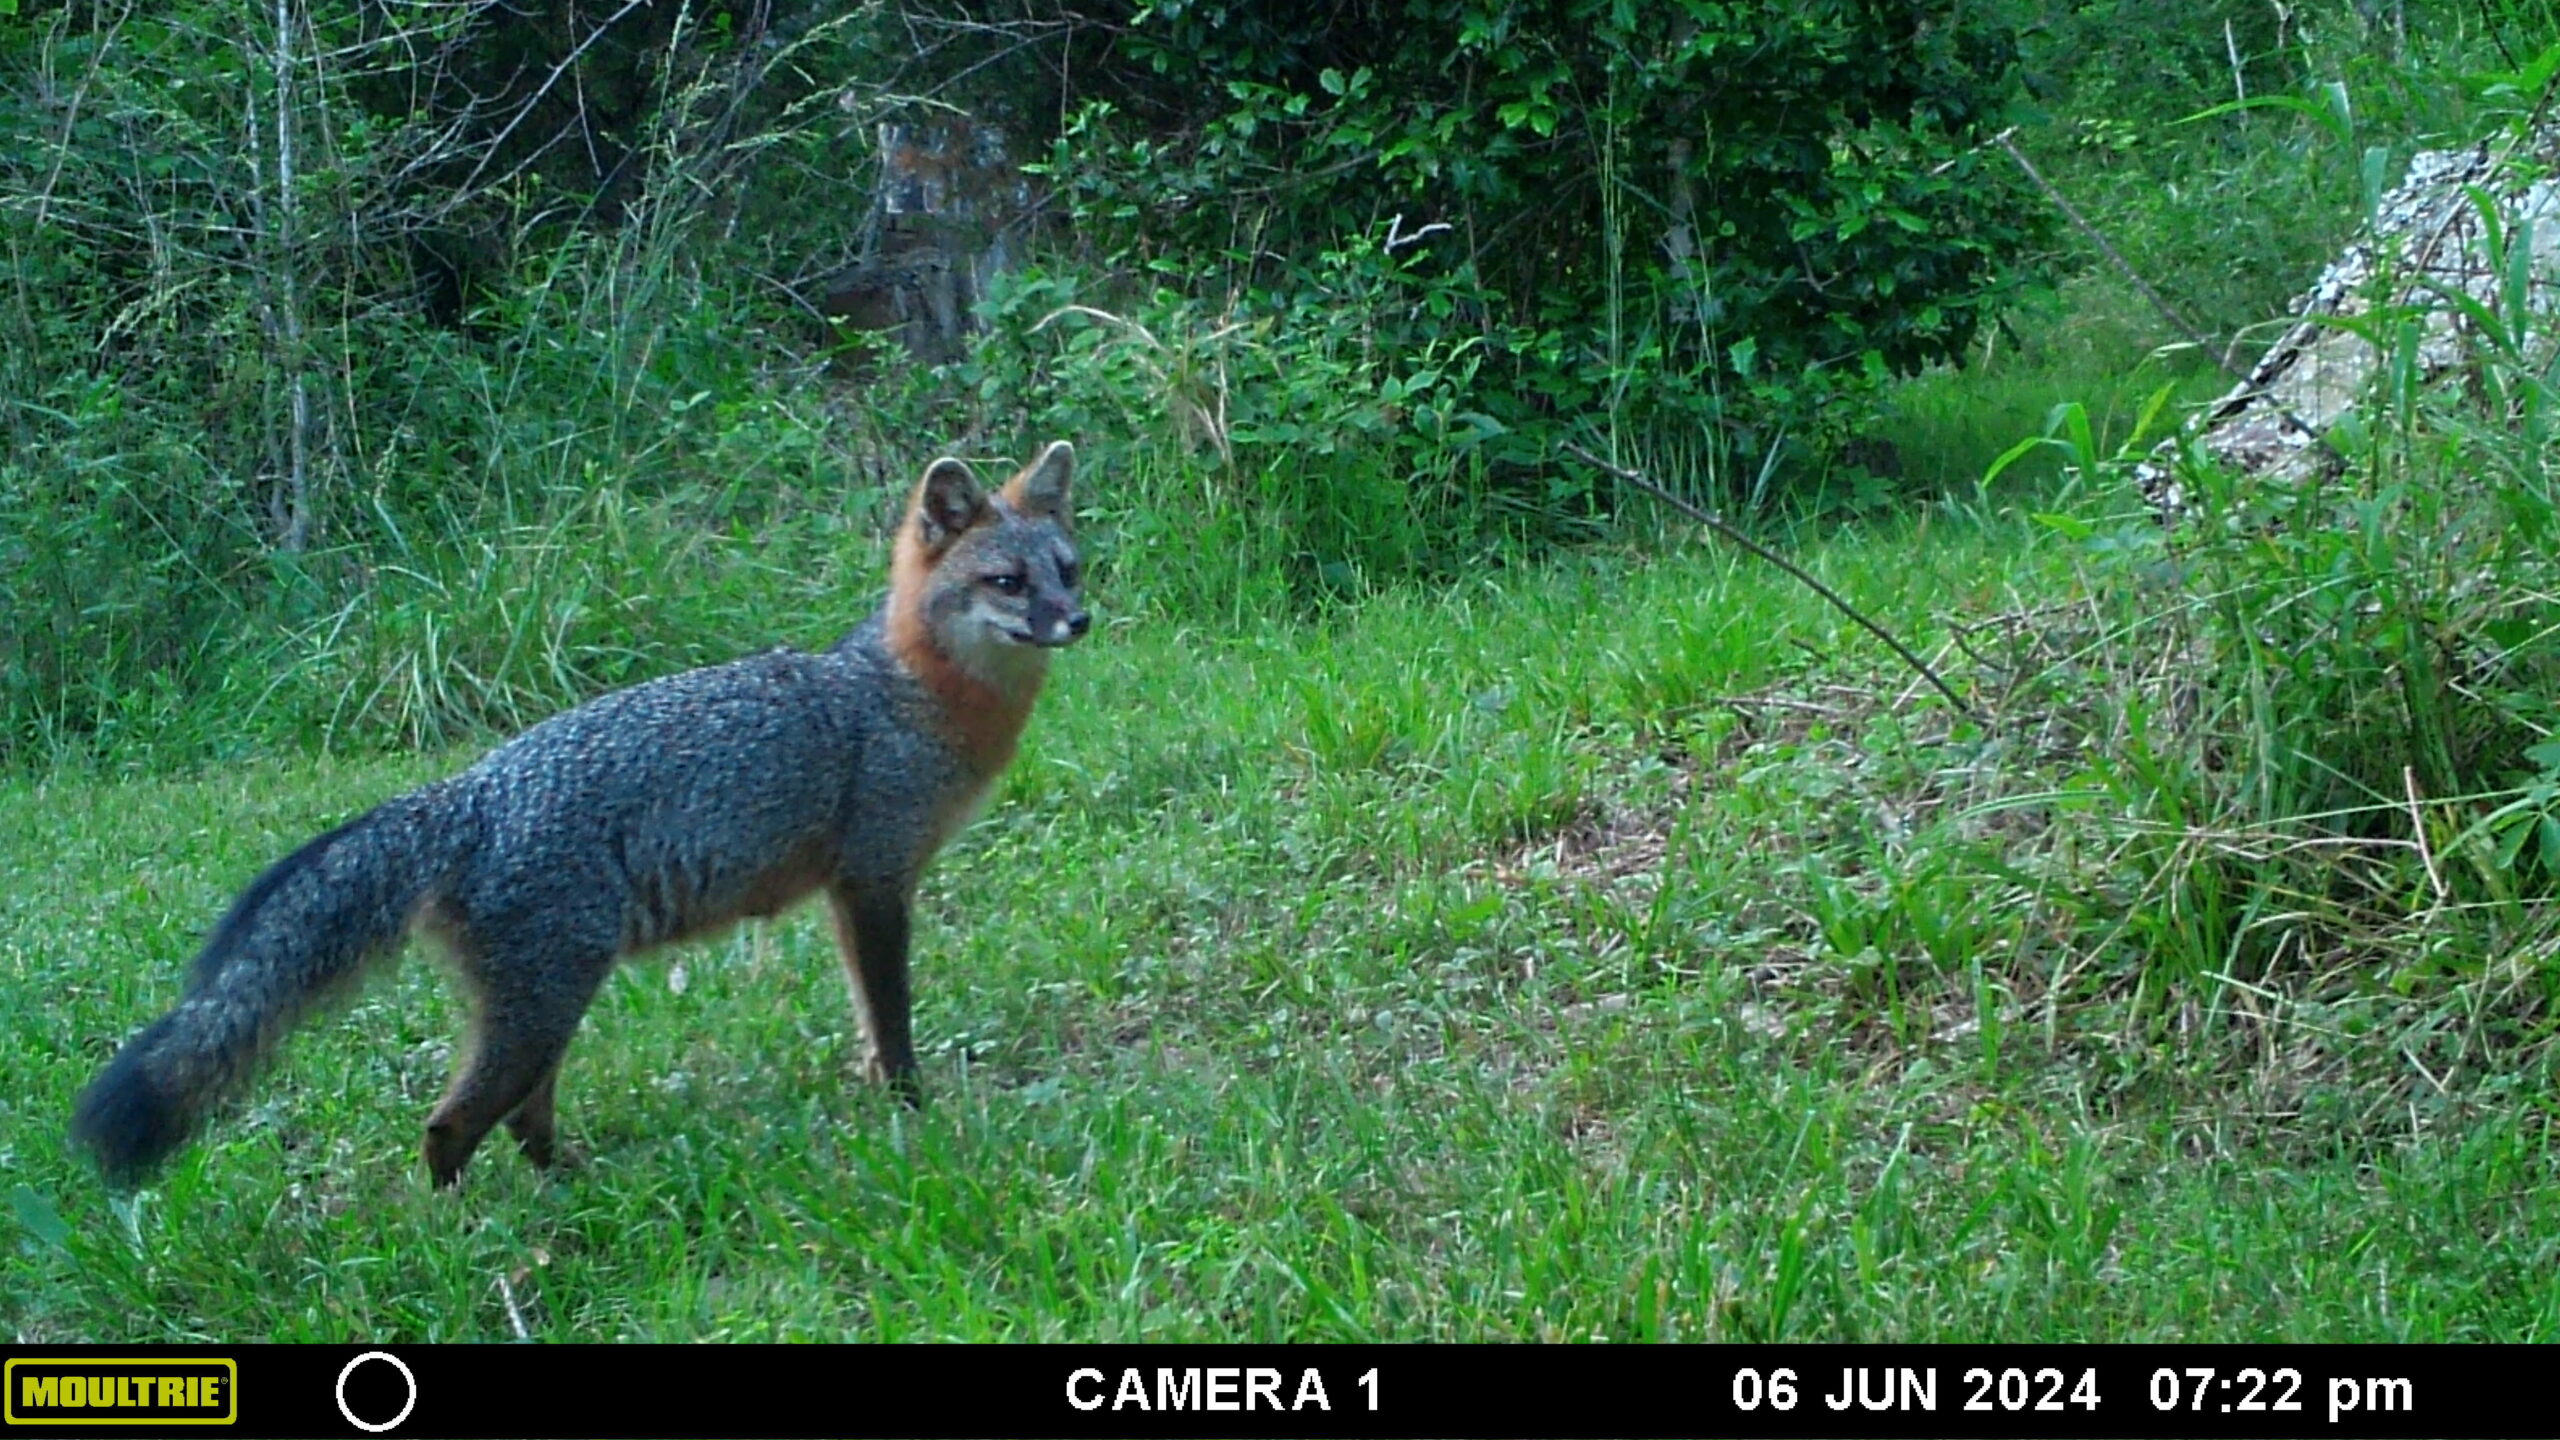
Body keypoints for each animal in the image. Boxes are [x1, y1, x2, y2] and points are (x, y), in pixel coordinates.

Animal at [71, 442, 1089, 1188]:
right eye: (1006, 583)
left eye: (1069, 572)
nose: (1077, 623)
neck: (906, 693)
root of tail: (467, 791)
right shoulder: (873, 882)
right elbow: (892, 1020)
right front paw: (912, 1107)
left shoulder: (856, 890)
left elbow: (870, 1026)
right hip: (542, 1010)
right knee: (447, 1128)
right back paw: (466, 1233)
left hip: (547, 1010)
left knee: (520, 1123)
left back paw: (570, 1185)